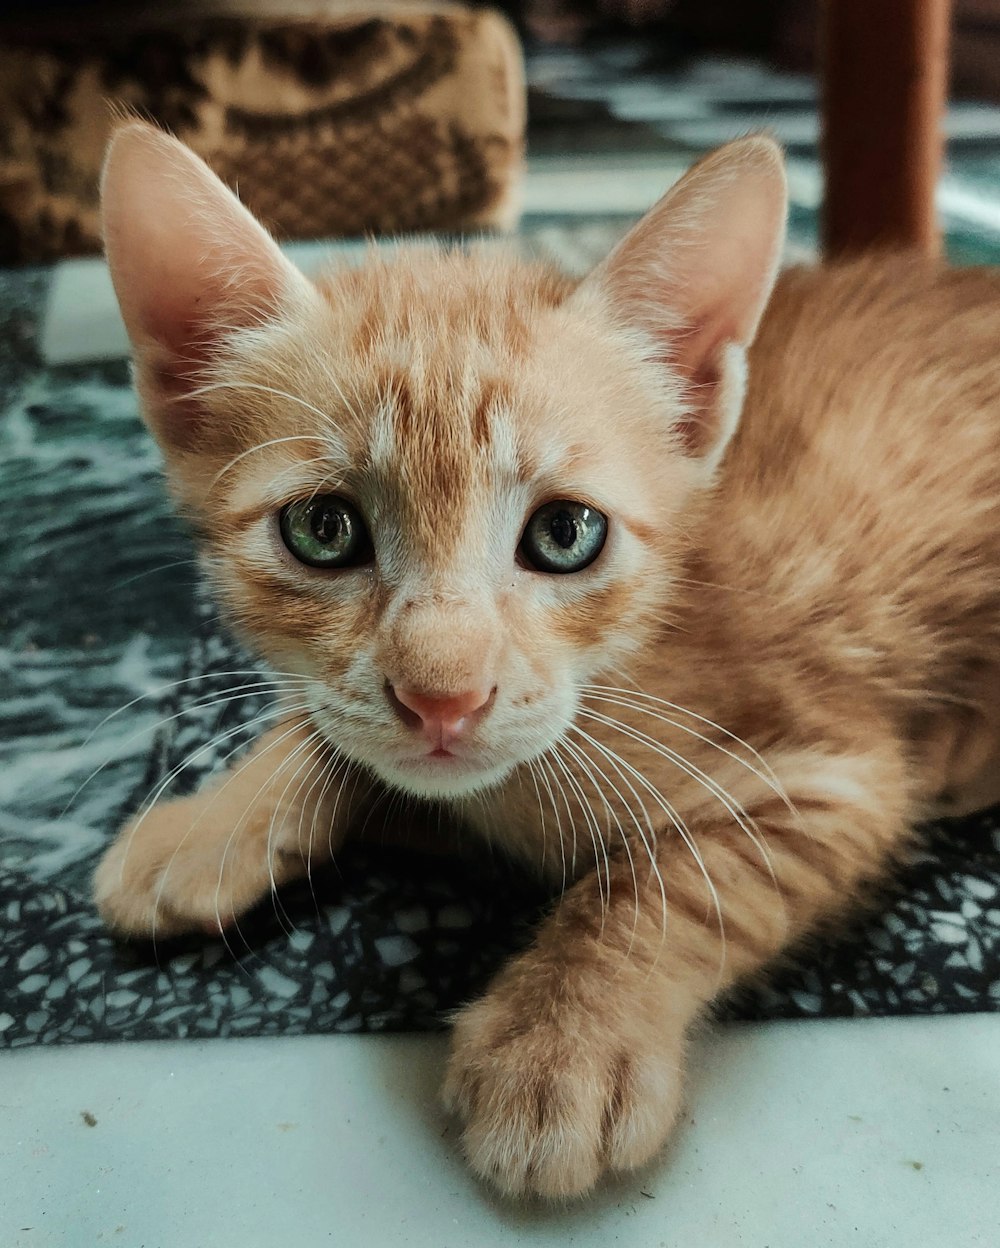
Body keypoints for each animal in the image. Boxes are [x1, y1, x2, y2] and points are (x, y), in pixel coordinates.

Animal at [91, 121, 998, 1193]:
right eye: (322, 529)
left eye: (567, 534)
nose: (442, 698)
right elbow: (326, 727)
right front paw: (215, 822)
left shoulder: (834, 773)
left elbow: (671, 881)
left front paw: (565, 1040)